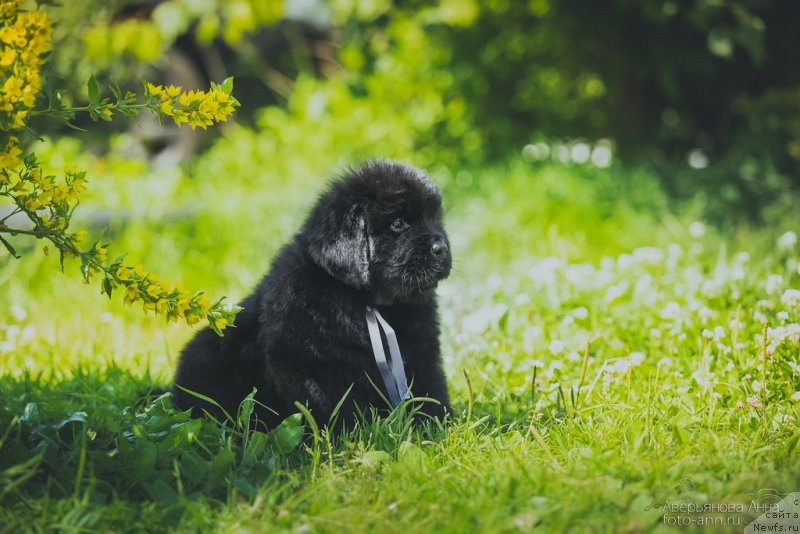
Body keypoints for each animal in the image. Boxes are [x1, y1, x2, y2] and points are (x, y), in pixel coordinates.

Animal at [170, 159, 450, 432]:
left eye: (434, 218)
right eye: (398, 223)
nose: (442, 248)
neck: (366, 301)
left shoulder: (421, 353)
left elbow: (430, 389)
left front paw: (436, 427)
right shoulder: (315, 367)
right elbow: (335, 406)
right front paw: (347, 439)